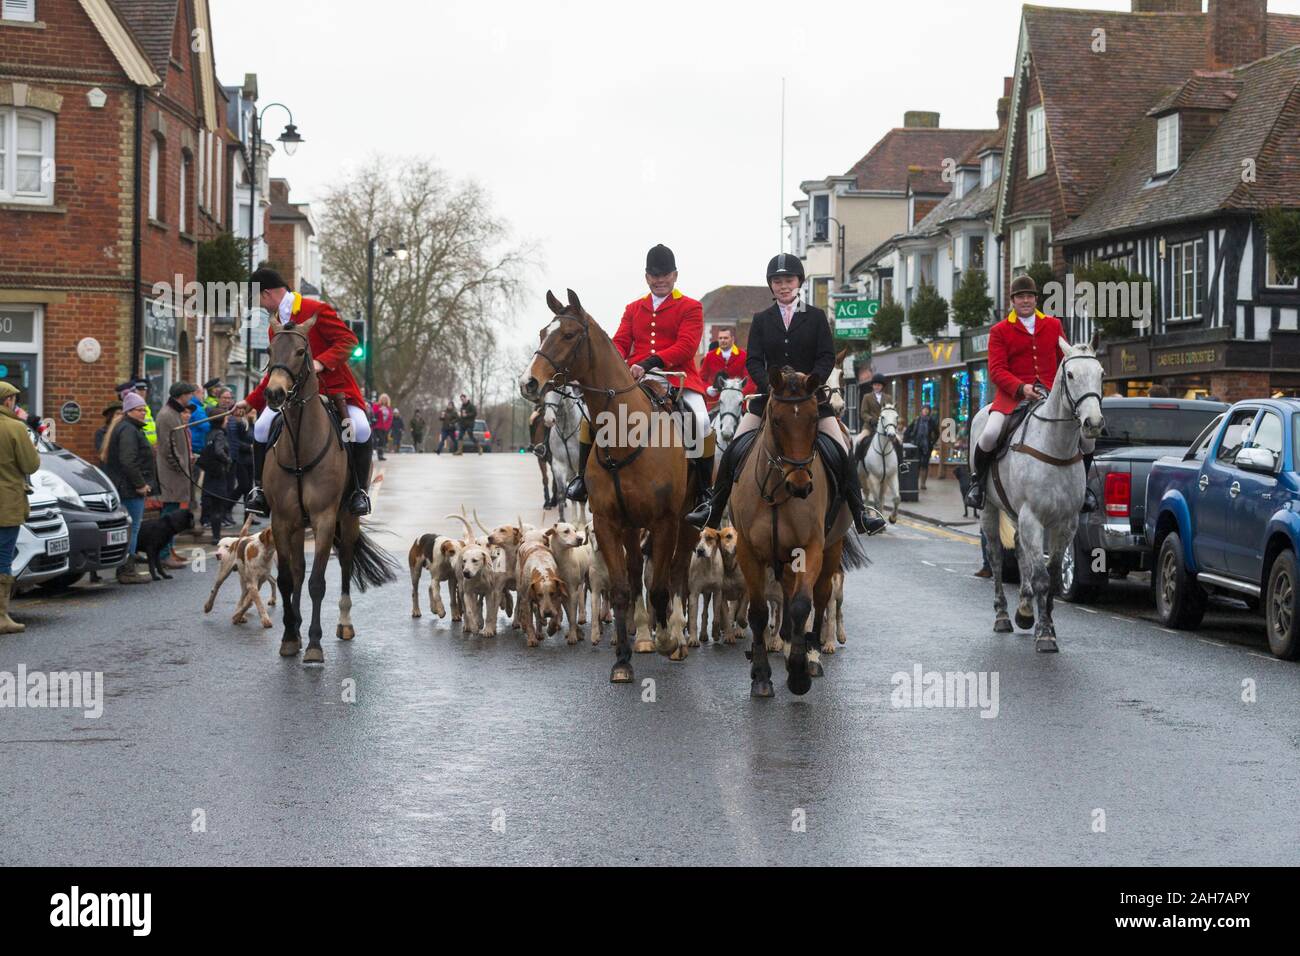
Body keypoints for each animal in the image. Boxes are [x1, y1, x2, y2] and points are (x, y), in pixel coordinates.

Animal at [254, 312, 392, 658]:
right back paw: (297, 623)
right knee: (298, 571)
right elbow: (288, 578)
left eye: (301, 352)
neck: (300, 446)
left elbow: (317, 581)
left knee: (344, 563)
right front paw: (291, 636)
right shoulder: (282, 520)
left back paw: (344, 623)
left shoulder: (325, 518)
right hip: (297, 526)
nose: (273, 394)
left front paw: (314, 645)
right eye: (270, 351)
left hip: (347, 519)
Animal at [540, 385, 587, 528]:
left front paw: (582, 523)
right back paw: (574, 521)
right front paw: (562, 521)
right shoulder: (559, 465)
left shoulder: (582, 465)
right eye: (545, 391)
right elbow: (562, 492)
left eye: (559, 390)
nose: (549, 419)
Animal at [733, 366, 863, 697]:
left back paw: (812, 654)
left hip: (831, 548)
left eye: (814, 418)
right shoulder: (748, 551)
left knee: (820, 597)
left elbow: (803, 604)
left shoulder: (811, 547)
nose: (801, 486)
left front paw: (799, 672)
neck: (778, 489)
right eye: (777, 420)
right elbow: (758, 612)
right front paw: (761, 675)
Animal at [972, 340, 1102, 655]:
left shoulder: (1066, 522)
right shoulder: (1033, 517)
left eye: (1101, 373)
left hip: (1016, 514)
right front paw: (1044, 635)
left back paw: (1024, 609)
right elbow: (1042, 577)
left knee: (1021, 552)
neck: (1057, 447)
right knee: (996, 556)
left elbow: (1052, 576)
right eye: (1070, 374)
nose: (1093, 423)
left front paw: (1046, 624)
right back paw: (1003, 616)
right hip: (990, 509)